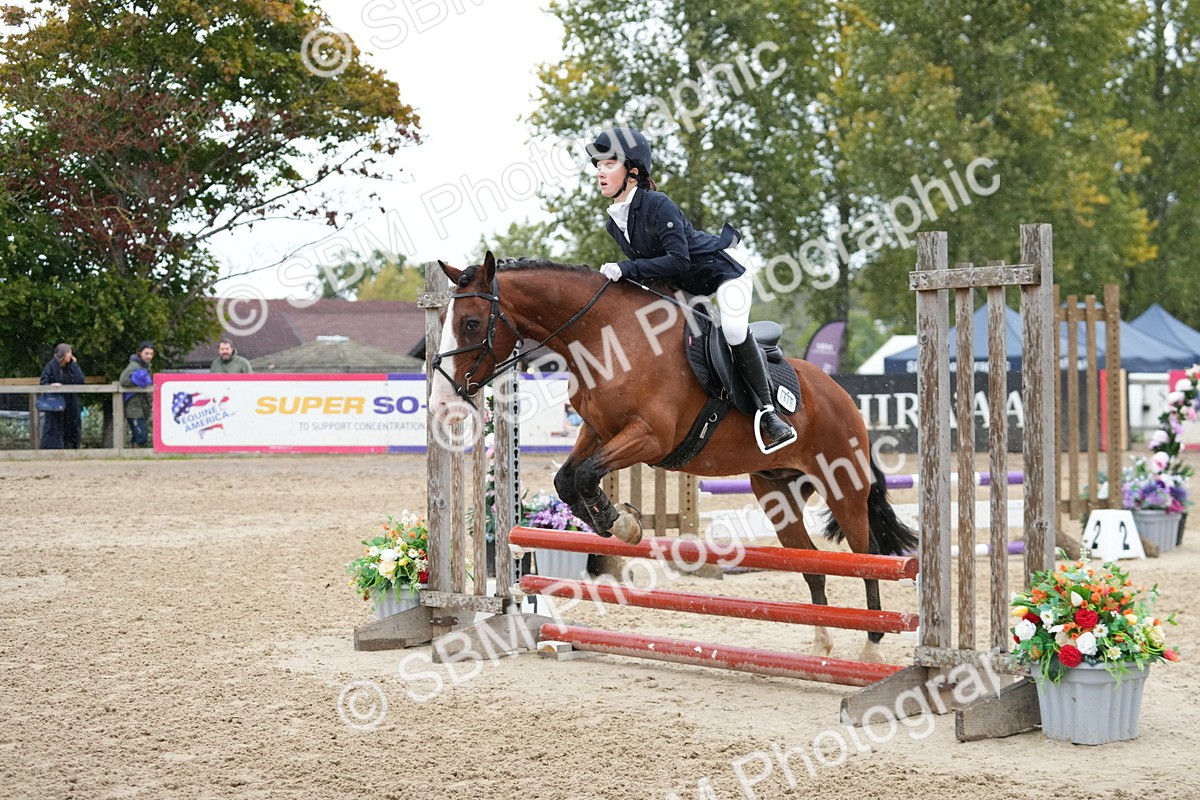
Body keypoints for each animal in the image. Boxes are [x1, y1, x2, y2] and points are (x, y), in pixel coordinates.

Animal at [429, 251, 918, 661]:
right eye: (447, 318)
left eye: (471, 323)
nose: (441, 402)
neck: (603, 337)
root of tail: (842, 396)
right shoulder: (597, 430)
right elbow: (568, 479)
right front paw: (614, 522)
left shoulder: (649, 437)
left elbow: (586, 475)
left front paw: (622, 523)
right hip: (778, 492)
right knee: (812, 565)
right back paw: (821, 647)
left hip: (844, 486)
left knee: (868, 558)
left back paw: (872, 645)